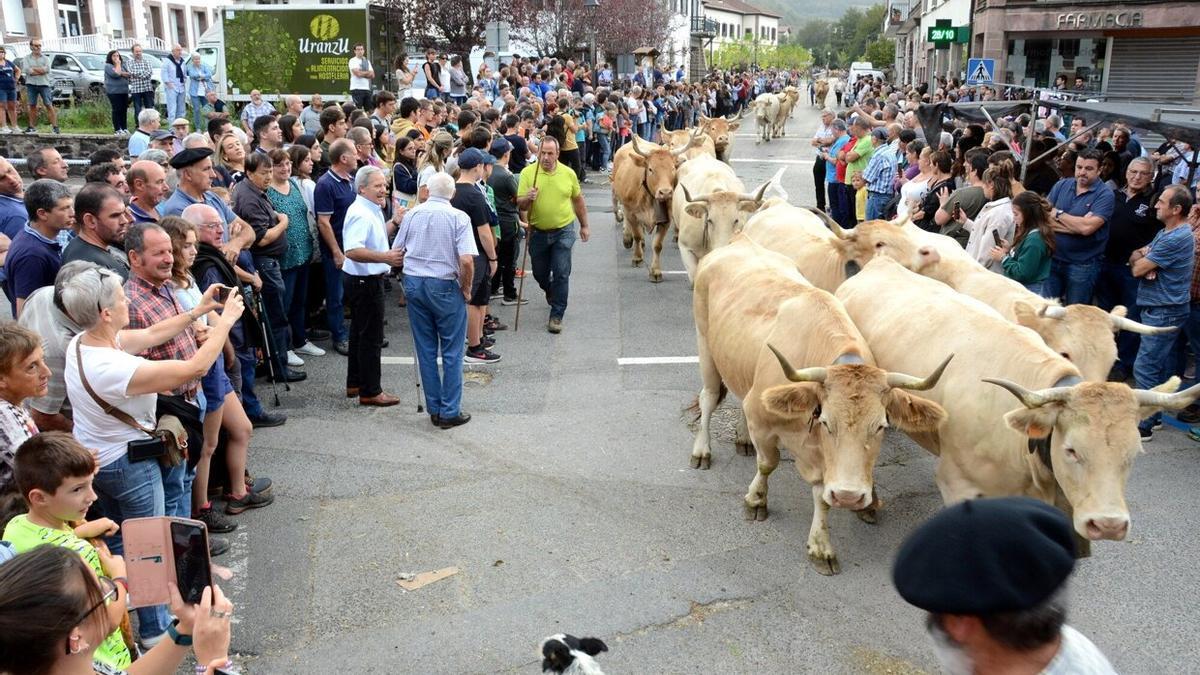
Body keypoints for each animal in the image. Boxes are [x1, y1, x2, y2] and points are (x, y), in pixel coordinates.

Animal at [691, 236, 950, 571]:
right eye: (826, 421)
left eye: (881, 426)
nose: (851, 497)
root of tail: (739, 241)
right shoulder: (762, 418)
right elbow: (767, 463)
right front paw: (756, 499)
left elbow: (822, 494)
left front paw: (820, 545)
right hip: (705, 344)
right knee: (709, 398)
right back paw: (702, 450)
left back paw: (742, 438)